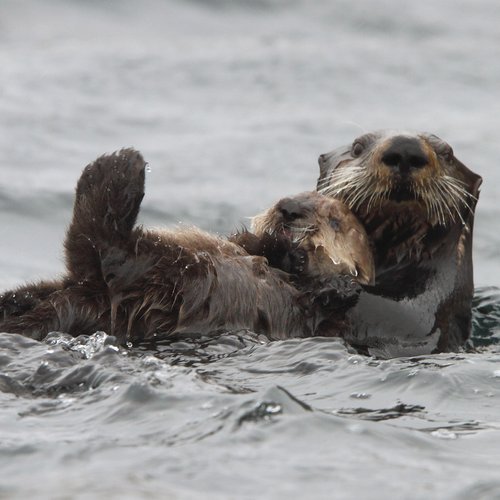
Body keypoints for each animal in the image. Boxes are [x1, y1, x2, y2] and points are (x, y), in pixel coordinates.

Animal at [0, 148, 374, 344]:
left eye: (334, 221)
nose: (289, 207)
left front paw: (318, 270)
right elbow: (251, 243)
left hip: (176, 275)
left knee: (104, 245)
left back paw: (118, 167)